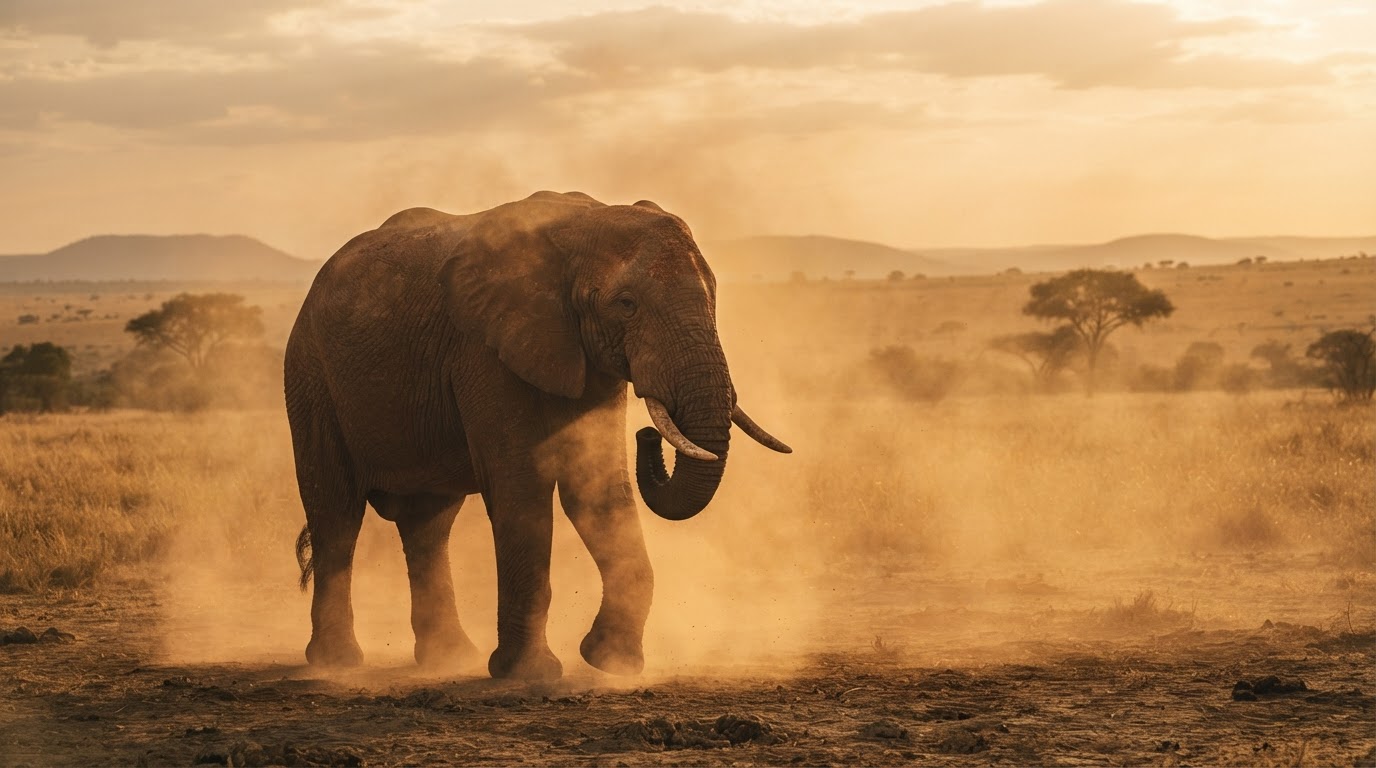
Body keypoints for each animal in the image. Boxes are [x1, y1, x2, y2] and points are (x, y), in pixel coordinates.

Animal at [285, 190, 790, 680]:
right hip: (311, 376)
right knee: (337, 514)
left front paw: (611, 663)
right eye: (626, 304)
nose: (647, 436)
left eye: (715, 294)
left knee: (428, 525)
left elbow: (597, 489)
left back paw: (449, 659)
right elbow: (521, 488)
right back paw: (337, 663)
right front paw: (530, 675)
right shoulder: (484, 350)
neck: (582, 222)